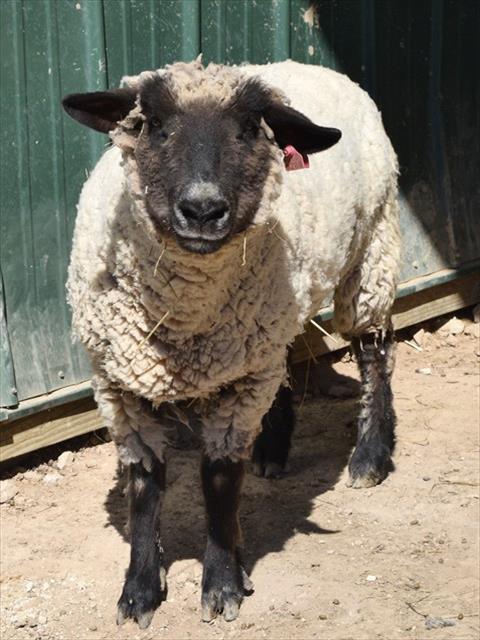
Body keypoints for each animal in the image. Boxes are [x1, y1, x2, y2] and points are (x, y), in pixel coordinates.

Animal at [62, 59, 401, 628]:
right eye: (154, 124)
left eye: (249, 130)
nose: (202, 210)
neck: (183, 318)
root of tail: (310, 64)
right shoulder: (119, 383)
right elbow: (143, 488)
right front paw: (139, 591)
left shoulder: (239, 386)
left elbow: (220, 483)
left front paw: (221, 584)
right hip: (271, 320)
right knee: (286, 356)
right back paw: (273, 450)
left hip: (371, 250)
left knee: (375, 351)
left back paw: (370, 456)